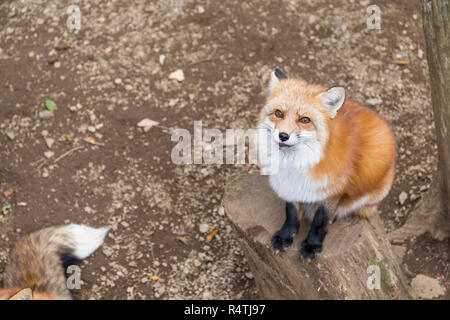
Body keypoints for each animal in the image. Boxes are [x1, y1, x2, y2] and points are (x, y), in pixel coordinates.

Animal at [258, 68, 396, 260]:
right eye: (279, 113)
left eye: (304, 120)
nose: (283, 136)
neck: (296, 165)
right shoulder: (290, 186)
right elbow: (291, 213)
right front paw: (285, 236)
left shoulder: (332, 191)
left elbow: (320, 220)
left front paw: (312, 245)